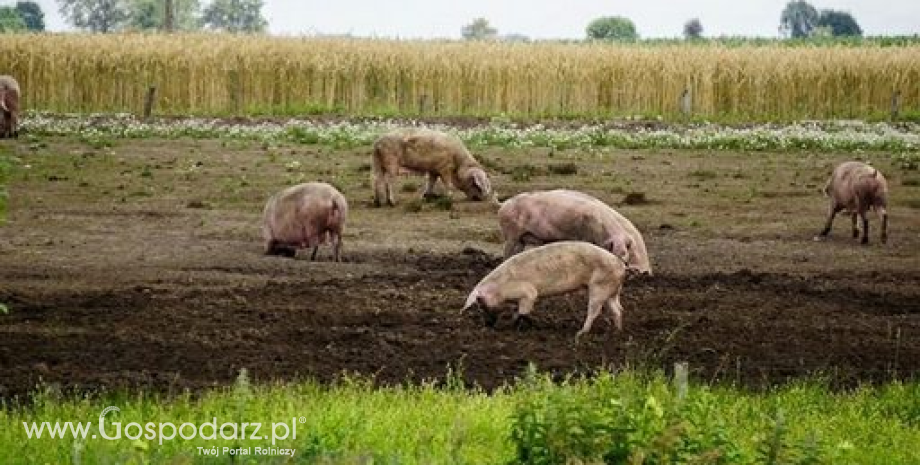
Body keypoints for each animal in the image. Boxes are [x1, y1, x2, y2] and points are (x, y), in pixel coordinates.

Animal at [460, 243, 632, 338]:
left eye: (480, 303)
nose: (487, 325)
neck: (500, 288)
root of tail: (621, 265)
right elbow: (519, 311)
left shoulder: (528, 293)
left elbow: (524, 311)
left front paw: (518, 326)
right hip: (612, 290)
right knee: (618, 309)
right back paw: (617, 332)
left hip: (599, 287)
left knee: (594, 311)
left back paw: (580, 333)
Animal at [496, 188, 656, 274]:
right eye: (616, 255)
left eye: (625, 258)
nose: (642, 272)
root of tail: (503, 204)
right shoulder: (584, 236)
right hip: (511, 233)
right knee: (506, 252)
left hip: (520, 238)